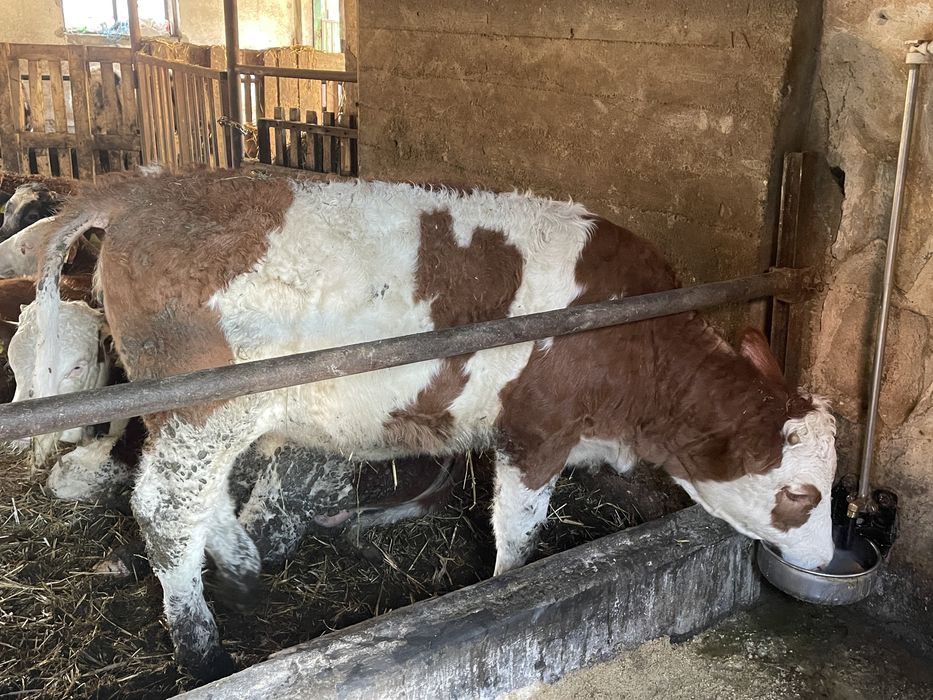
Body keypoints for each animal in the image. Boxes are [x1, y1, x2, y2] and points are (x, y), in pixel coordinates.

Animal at [28, 170, 837, 681]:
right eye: (801, 495)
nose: (828, 557)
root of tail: (146, 186)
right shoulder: (535, 432)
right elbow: (519, 531)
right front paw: (510, 593)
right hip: (206, 403)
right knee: (166, 511)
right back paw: (203, 653)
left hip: (204, 415)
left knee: (204, 501)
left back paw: (247, 574)